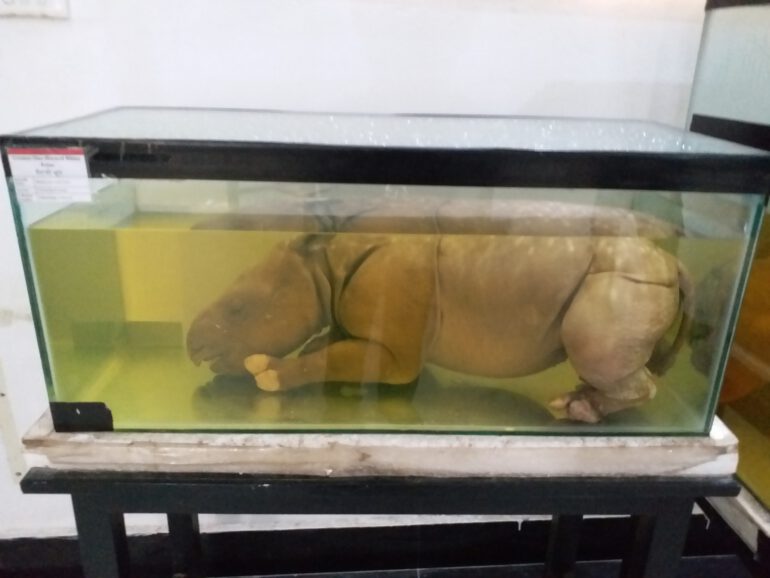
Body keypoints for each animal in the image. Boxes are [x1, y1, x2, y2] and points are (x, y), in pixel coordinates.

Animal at [186, 199, 692, 423]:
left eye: (239, 309)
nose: (192, 346)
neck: (324, 265)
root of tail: (671, 261)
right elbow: (331, 348)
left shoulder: (397, 350)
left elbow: (339, 359)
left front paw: (266, 373)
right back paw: (578, 397)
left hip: (622, 281)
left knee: (599, 353)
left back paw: (576, 409)